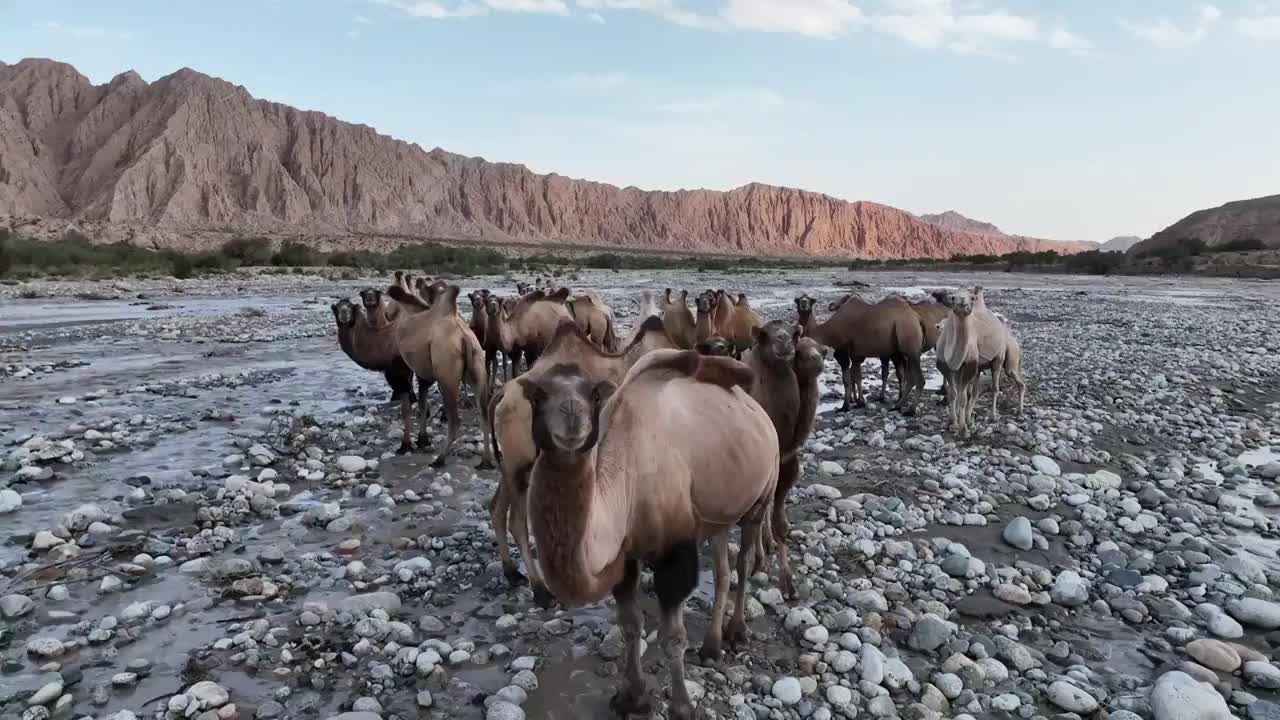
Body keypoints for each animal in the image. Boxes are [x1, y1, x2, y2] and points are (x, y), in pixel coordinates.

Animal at [381, 284, 491, 466]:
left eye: (389, 303)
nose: (386, 315)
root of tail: (464, 337)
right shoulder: (423, 375)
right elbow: (422, 404)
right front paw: (422, 440)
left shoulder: (404, 369)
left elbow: (407, 407)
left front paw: (405, 446)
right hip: (477, 367)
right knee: (484, 413)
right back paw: (485, 462)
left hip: (447, 375)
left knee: (455, 420)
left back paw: (439, 459)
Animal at [483, 316, 680, 602]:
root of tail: (501, 395)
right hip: (520, 462)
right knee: (516, 522)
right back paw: (541, 590)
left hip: (511, 464)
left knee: (497, 507)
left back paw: (511, 573)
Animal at [522, 348, 778, 717]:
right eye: (536, 395)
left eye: (594, 395)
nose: (571, 417)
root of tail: (758, 410)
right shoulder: (626, 556)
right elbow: (630, 625)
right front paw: (632, 698)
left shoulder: (675, 548)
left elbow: (673, 636)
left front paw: (682, 707)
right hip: (718, 517)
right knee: (722, 569)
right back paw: (711, 646)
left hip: (762, 494)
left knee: (743, 562)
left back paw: (737, 631)